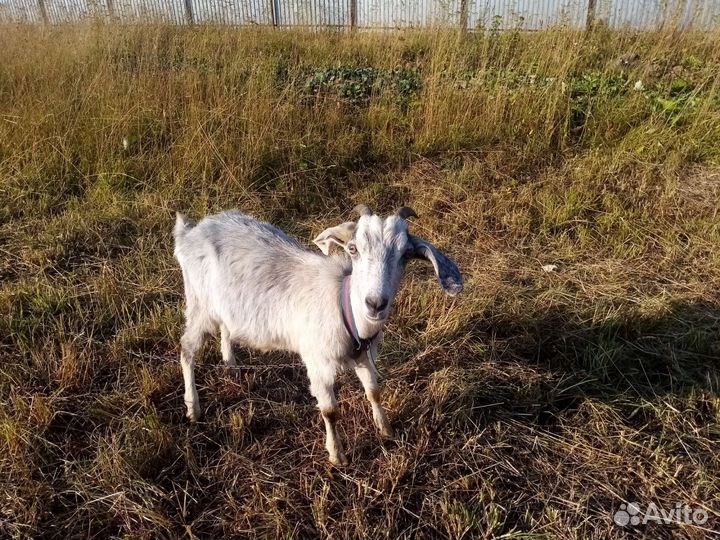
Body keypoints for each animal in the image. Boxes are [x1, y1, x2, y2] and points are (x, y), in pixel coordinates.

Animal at [173, 205, 463, 465]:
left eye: (406, 254)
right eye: (353, 249)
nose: (375, 304)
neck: (343, 304)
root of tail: (189, 233)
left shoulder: (363, 357)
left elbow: (374, 391)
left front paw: (387, 430)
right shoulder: (317, 362)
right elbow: (330, 411)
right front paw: (337, 456)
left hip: (223, 306)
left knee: (225, 328)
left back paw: (231, 365)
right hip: (198, 305)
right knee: (186, 349)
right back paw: (193, 408)